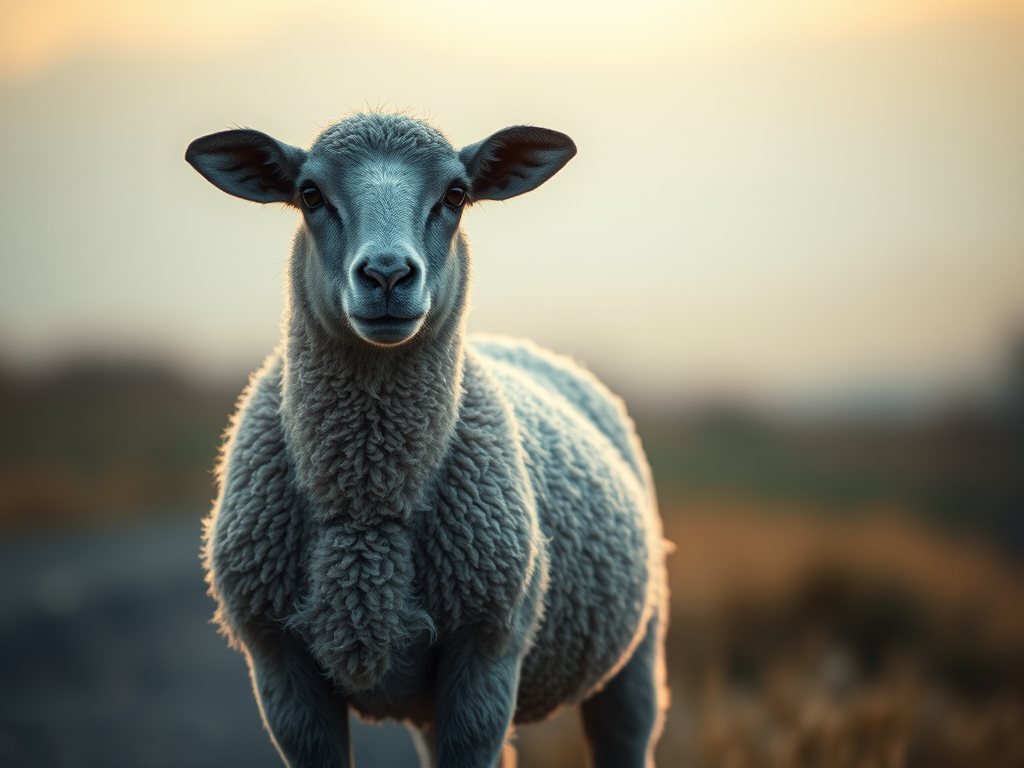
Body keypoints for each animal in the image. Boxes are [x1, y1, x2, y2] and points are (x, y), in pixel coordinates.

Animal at [186, 112, 669, 768]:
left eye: (456, 195)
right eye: (309, 194)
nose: (387, 274)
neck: (367, 509)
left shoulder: (486, 654)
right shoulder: (281, 670)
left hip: (637, 655)